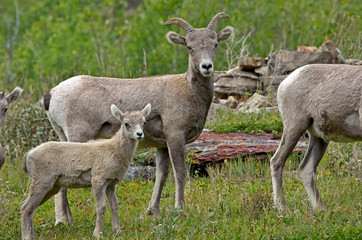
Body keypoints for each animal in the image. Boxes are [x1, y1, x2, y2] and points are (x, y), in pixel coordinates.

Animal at [21, 103, 151, 240]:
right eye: (126, 123)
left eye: (144, 122)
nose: (139, 134)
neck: (115, 151)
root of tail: (29, 155)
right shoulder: (98, 180)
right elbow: (101, 206)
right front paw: (97, 234)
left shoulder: (111, 183)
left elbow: (114, 204)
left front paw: (117, 231)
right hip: (42, 182)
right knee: (26, 207)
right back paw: (27, 237)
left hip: (52, 187)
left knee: (26, 206)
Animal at [43, 11, 235, 221]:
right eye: (190, 48)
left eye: (215, 44)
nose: (206, 66)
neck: (190, 91)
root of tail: (53, 93)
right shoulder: (176, 136)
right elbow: (180, 172)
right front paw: (180, 210)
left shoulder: (162, 145)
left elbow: (162, 175)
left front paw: (153, 211)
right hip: (79, 136)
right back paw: (62, 221)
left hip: (64, 136)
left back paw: (68, 219)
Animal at [270, 63, 360, 210]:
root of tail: (286, 82)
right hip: (294, 127)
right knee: (277, 162)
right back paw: (283, 208)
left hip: (318, 138)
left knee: (305, 169)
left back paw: (320, 209)